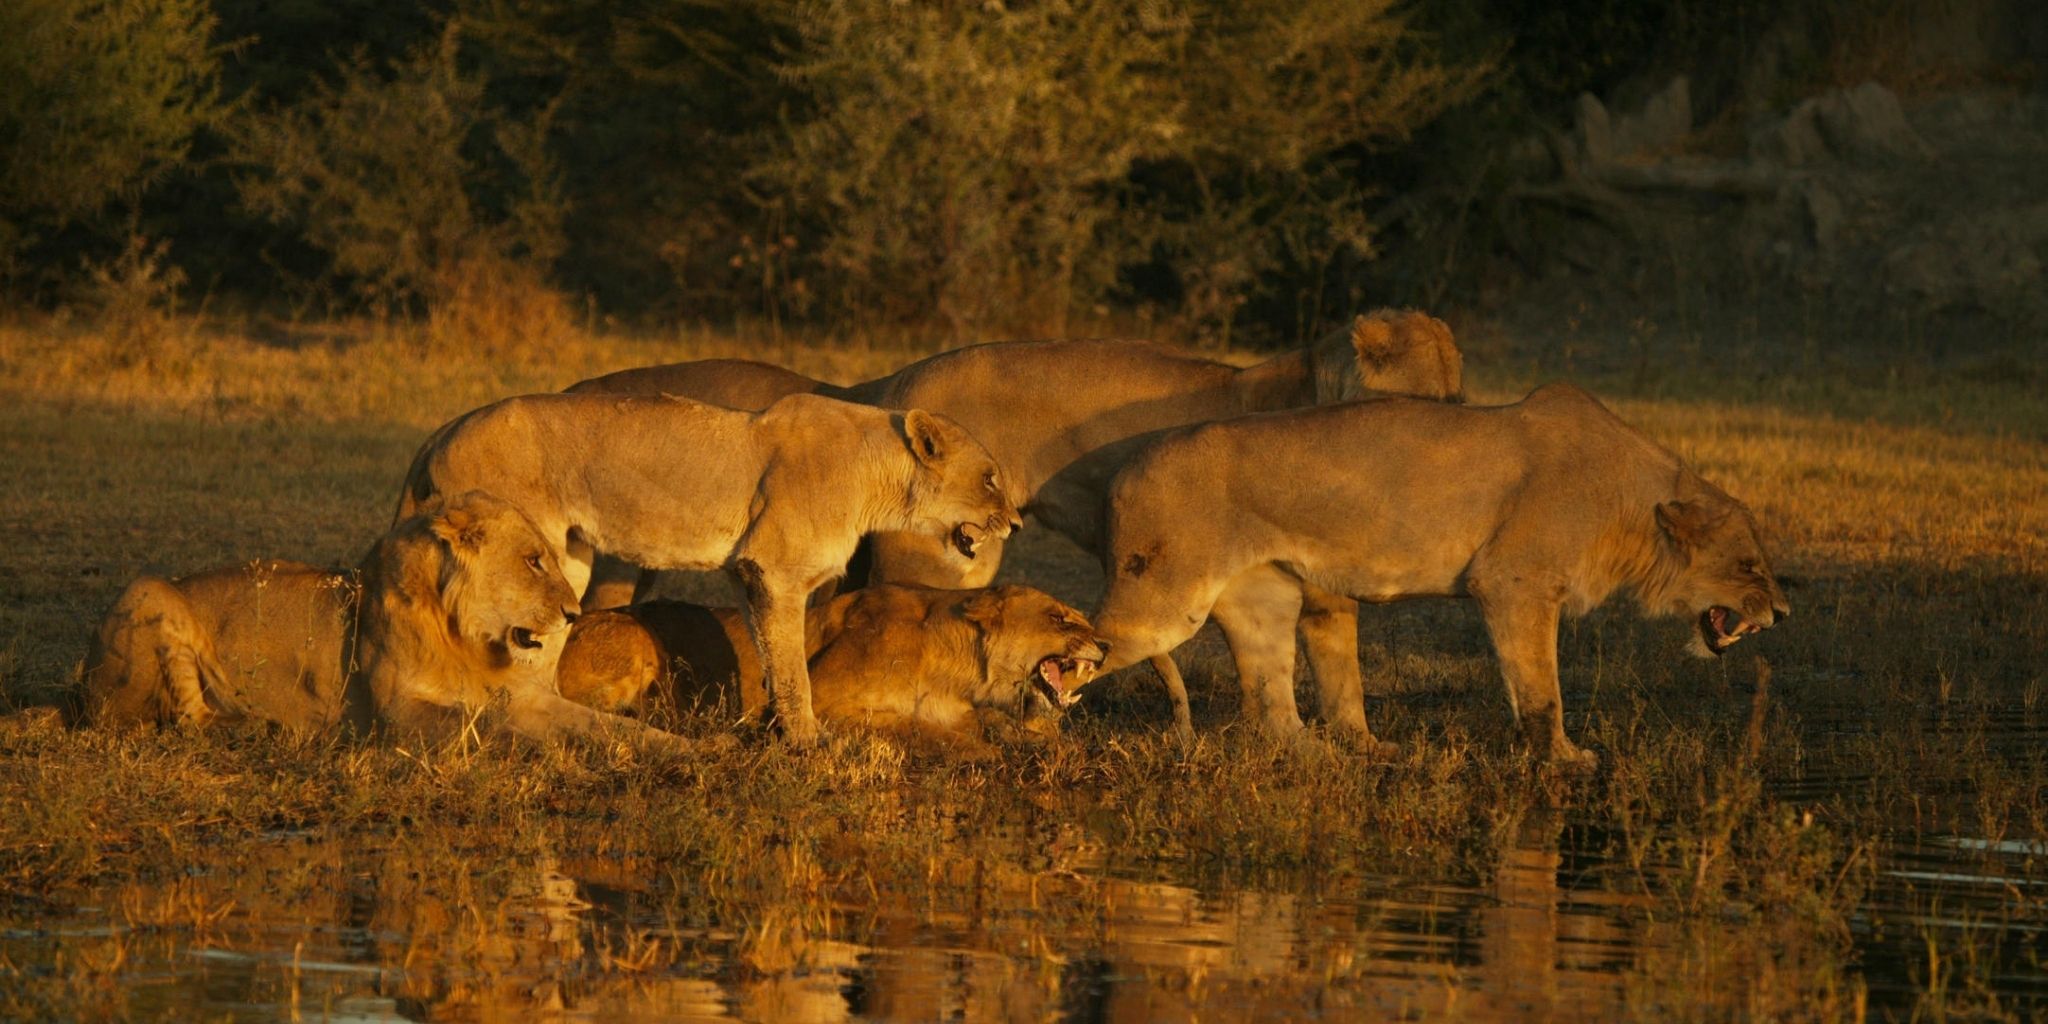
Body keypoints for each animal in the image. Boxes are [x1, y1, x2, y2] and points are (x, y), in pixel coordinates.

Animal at [80, 491, 694, 755]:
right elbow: (484, 727)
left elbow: (605, 725)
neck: (468, 638)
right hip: (150, 590)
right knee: (185, 720)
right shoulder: (396, 713)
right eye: (533, 561)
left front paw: (687, 747)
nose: (573, 614)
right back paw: (258, 727)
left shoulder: (525, 696)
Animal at [394, 392, 1020, 746]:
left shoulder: (752, 573)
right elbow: (794, 665)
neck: (878, 476)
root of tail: (443, 428)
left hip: (566, 561)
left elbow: (770, 655)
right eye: (990, 477)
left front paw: (771, 729)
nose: (1014, 522)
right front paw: (809, 742)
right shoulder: (776, 569)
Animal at [556, 584, 1108, 757]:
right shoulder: (819, 701)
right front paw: (982, 749)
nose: (1104, 645)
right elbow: (915, 727)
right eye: (1061, 618)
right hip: (631, 640)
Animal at [1090, 383, 1791, 767]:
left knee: (1273, 705)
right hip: (1164, 600)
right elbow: (1543, 687)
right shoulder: (1514, 582)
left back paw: (1329, 756)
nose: (1783, 614)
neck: (1630, 507)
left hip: (1265, 599)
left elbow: (1528, 683)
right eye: (1748, 564)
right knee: (1082, 645)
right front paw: (1563, 759)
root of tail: (1125, 465)